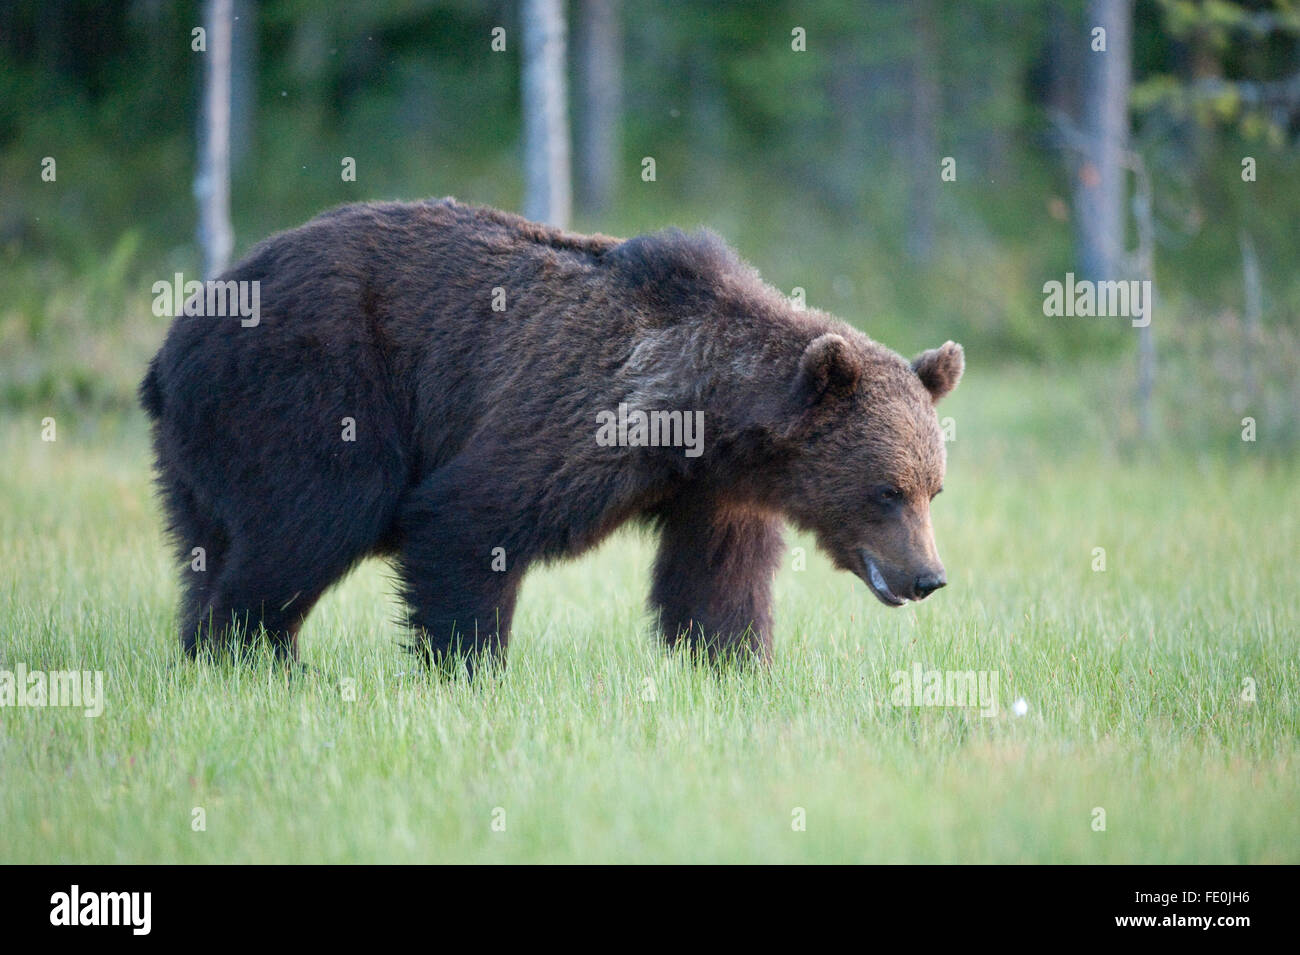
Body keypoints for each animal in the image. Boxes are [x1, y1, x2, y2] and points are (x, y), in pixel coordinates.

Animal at [140, 198, 963, 671]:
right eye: (886, 489)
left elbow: (717, 579)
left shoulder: (716, 493)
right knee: (320, 510)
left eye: (934, 488)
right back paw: (256, 656)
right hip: (308, 379)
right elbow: (467, 518)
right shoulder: (578, 417)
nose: (928, 577)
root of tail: (176, 337)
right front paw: (469, 667)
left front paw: (732, 663)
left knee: (211, 541)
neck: (704, 418)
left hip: (204, 444)